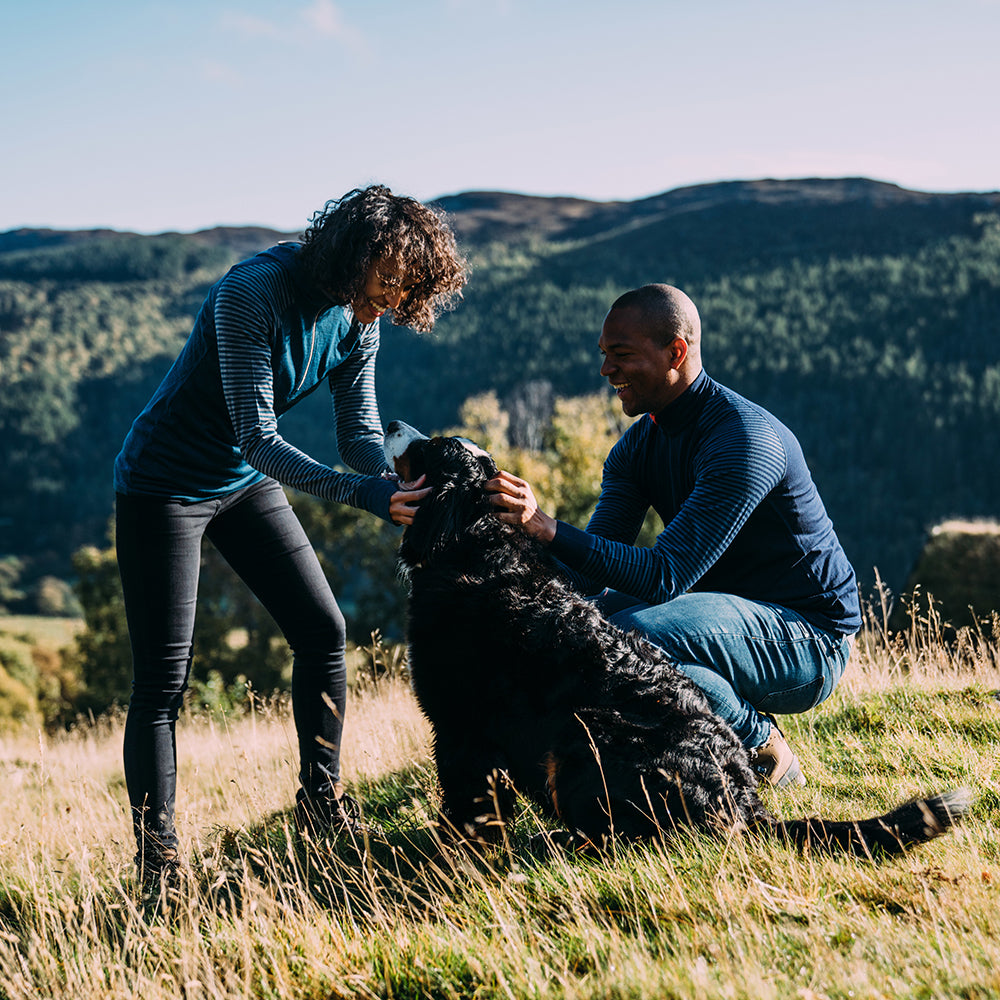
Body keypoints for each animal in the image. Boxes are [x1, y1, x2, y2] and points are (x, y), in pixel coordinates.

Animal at [382, 422, 968, 860]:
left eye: (429, 447)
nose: (390, 425)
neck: (477, 545)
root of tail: (744, 797)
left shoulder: (461, 729)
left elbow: (465, 809)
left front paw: (446, 858)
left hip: (583, 736)